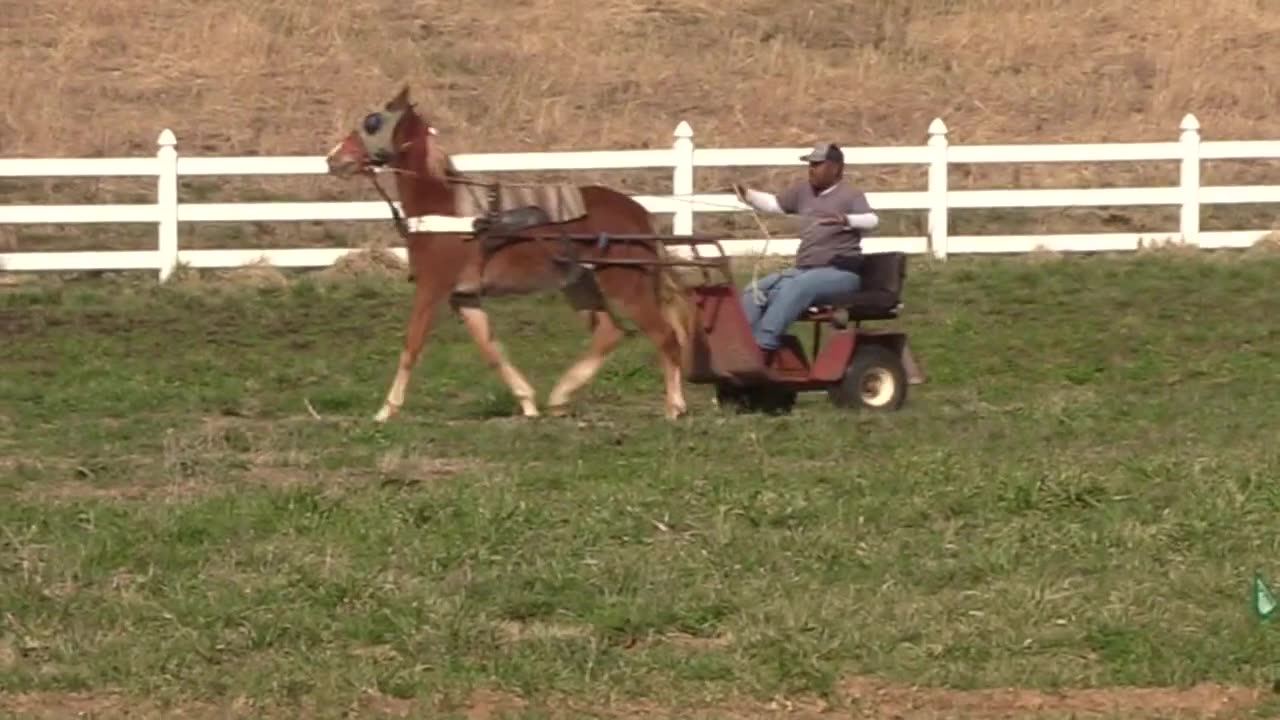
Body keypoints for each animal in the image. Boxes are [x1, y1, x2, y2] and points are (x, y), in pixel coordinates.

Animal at [325, 84, 696, 420]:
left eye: (372, 122)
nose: (333, 159)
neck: (447, 209)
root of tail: (638, 212)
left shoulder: (432, 288)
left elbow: (411, 346)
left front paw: (386, 410)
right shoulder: (464, 297)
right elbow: (492, 350)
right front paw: (527, 402)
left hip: (626, 284)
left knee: (666, 337)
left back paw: (674, 407)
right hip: (578, 283)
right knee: (609, 334)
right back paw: (560, 397)